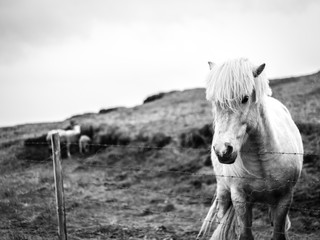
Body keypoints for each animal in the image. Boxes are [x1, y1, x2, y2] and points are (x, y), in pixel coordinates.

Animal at [199, 58, 304, 240]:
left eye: (245, 98)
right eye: (214, 102)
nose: (222, 151)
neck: (262, 160)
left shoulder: (285, 198)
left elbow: (278, 232)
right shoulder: (240, 199)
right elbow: (245, 234)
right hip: (223, 190)